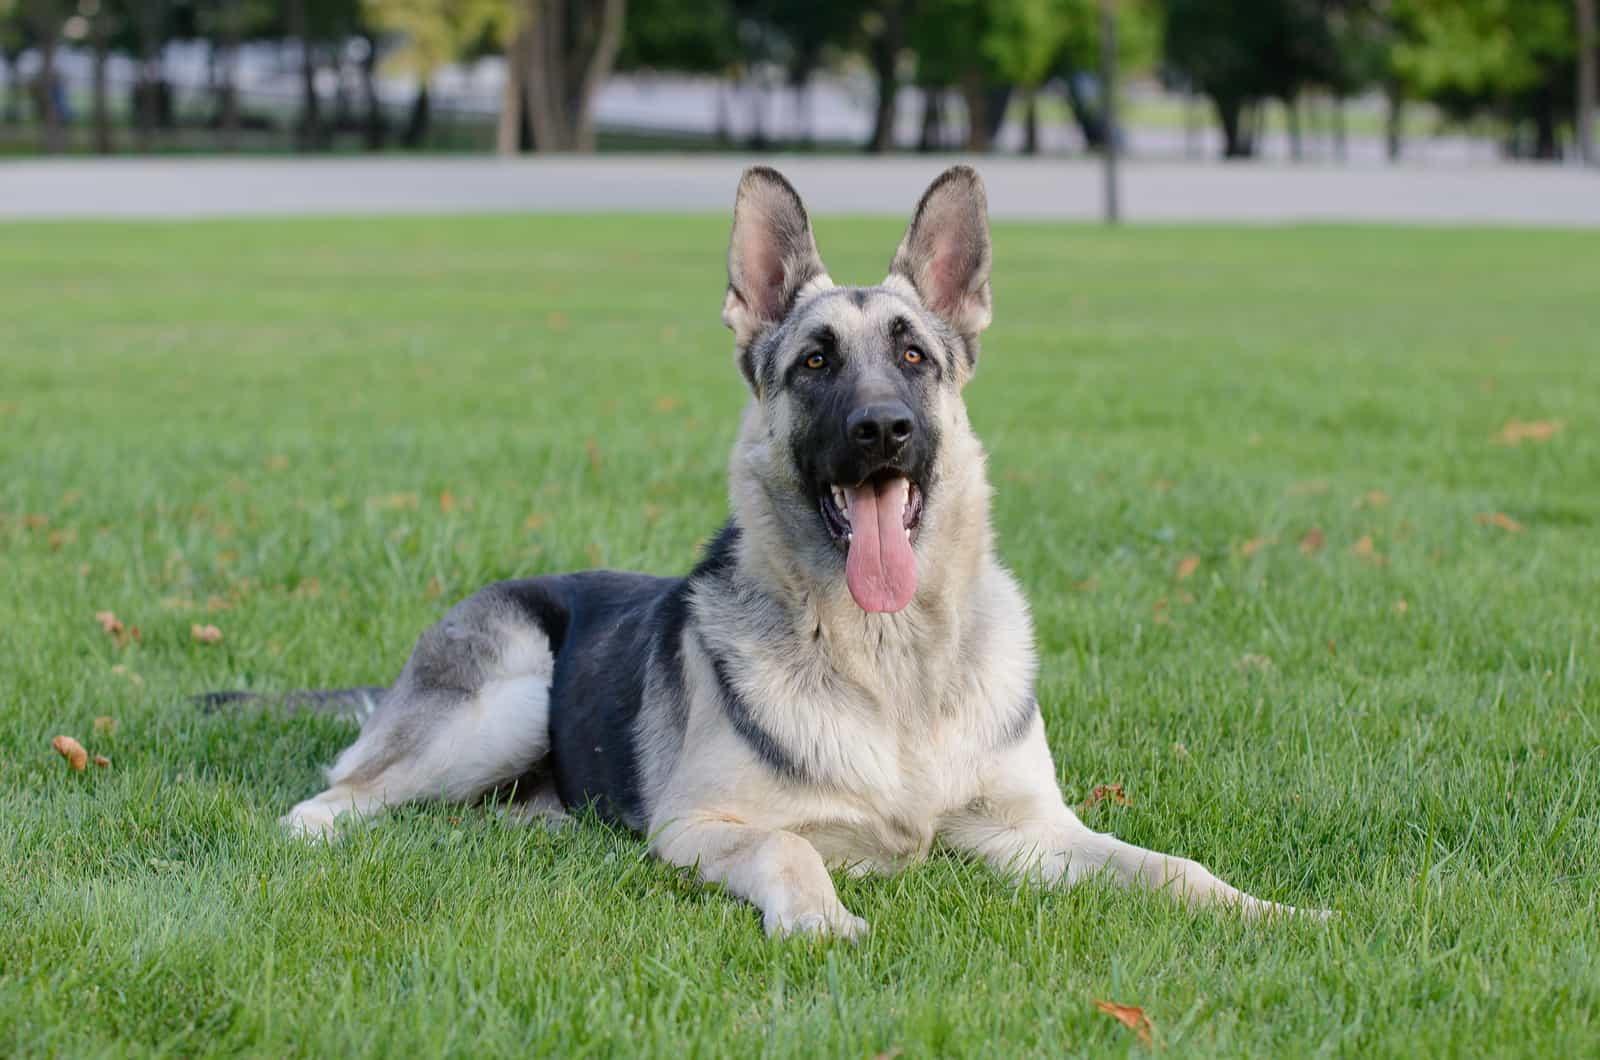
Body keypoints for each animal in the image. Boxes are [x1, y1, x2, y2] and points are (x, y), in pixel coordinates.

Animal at [216, 166, 1312, 941]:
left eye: (914, 355)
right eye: (814, 361)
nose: (881, 430)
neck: (890, 662)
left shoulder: (1032, 834)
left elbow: (1170, 867)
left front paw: (1274, 913)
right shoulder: (702, 829)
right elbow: (794, 850)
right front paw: (821, 919)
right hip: (506, 698)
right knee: (330, 799)